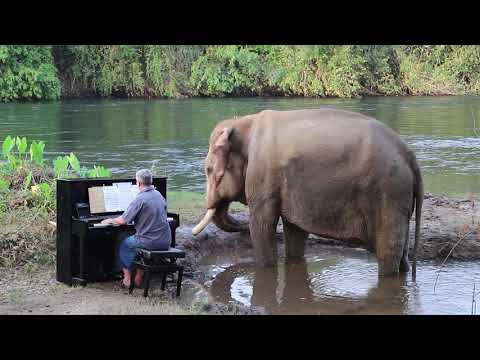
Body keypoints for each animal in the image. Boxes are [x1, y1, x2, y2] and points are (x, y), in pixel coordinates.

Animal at [192, 108, 424, 280]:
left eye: (209, 170)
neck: (244, 122)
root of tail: (409, 156)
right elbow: (294, 229)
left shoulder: (263, 175)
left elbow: (262, 225)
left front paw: (266, 268)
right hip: (398, 196)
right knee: (402, 254)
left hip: (388, 192)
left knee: (388, 251)